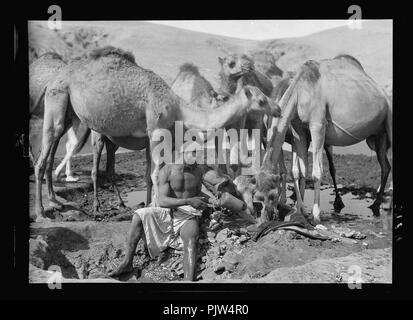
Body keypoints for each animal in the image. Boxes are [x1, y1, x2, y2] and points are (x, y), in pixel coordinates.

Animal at [35, 46, 280, 222]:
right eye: (261, 101)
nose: (277, 108)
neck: (179, 107)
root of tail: (56, 77)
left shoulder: (153, 137)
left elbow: (148, 175)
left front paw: (147, 204)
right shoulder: (156, 131)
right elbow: (155, 174)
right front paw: (156, 207)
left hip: (69, 113)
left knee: (55, 151)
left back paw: (56, 201)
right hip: (59, 99)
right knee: (47, 157)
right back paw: (44, 212)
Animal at [254, 55, 392, 224]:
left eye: (273, 195)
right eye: (257, 196)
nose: (265, 218)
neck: (299, 90)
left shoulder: (317, 124)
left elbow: (316, 172)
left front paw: (316, 215)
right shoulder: (298, 129)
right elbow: (300, 171)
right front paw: (301, 211)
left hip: (389, 119)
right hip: (378, 136)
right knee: (385, 166)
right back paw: (375, 204)